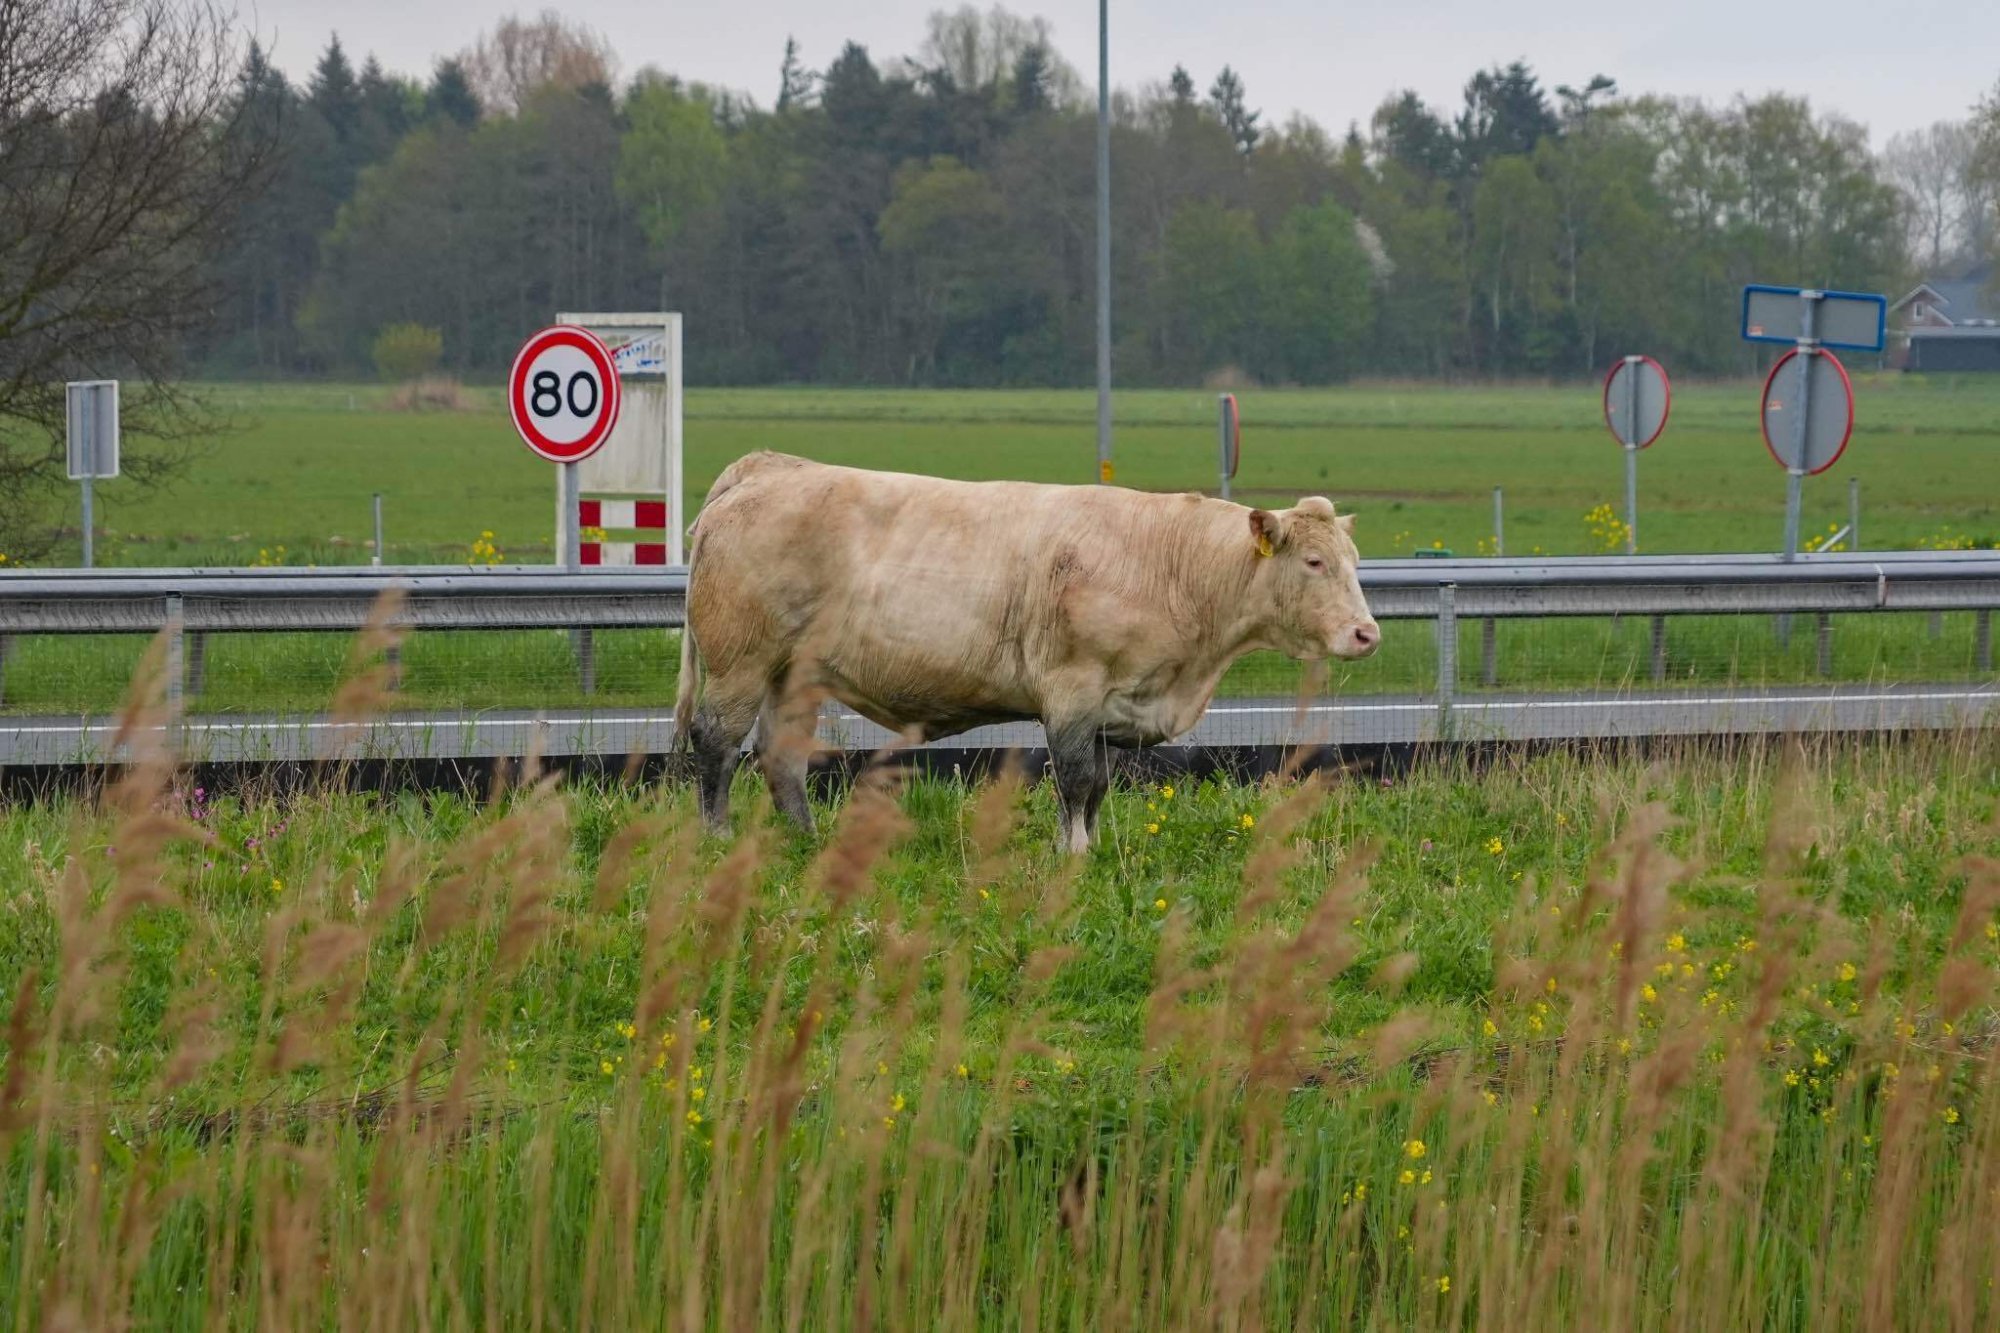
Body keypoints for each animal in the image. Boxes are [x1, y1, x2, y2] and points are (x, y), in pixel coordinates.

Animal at [673, 450, 1379, 852]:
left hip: (794, 675)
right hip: (740, 664)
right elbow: (1074, 778)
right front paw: (1073, 854)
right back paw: (716, 835)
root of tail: (768, 467)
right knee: (717, 743)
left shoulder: (1112, 706)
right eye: (1314, 562)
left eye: (1354, 559)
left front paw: (1090, 845)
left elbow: (1098, 785)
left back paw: (804, 839)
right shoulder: (1072, 692)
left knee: (780, 755)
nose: (1366, 633)